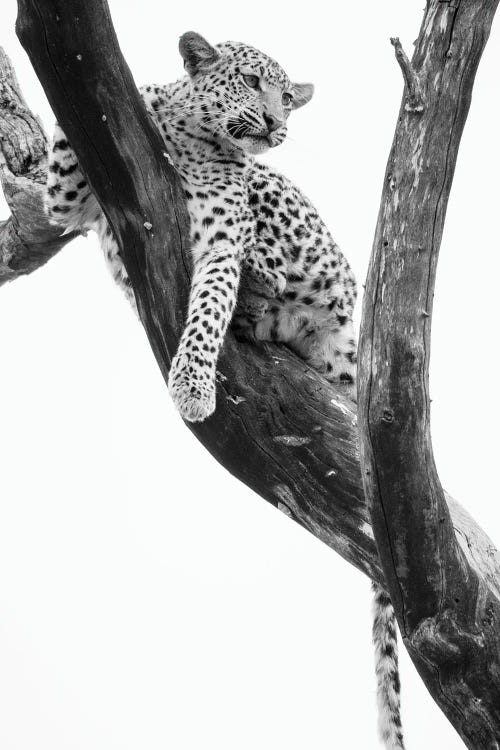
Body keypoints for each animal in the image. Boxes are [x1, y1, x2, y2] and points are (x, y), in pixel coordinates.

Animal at [45, 30, 406, 750]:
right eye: (250, 81)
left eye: (286, 95)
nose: (275, 123)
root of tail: (352, 330)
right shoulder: (69, 203)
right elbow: (66, 171)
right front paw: (146, 92)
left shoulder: (215, 240)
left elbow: (208, 307)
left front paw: (190, 388)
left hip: (303, 242)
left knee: (271, 278)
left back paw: (259, 283)